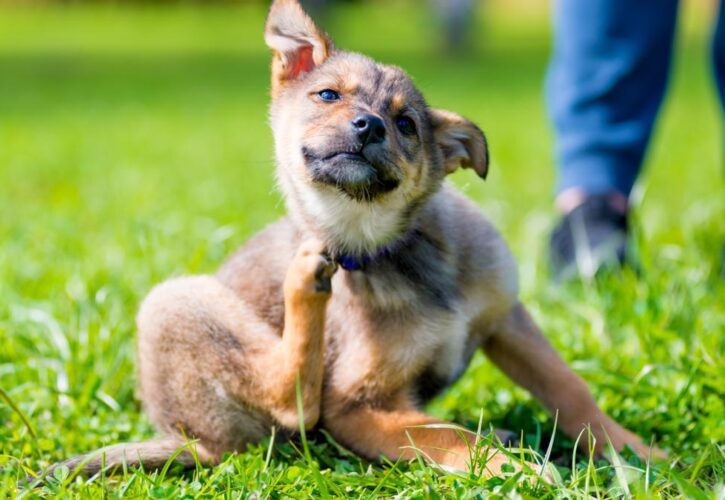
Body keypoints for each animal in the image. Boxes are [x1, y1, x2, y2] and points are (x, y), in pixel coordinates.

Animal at [51, 0, 664, 478]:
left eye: (407, 124)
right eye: (327, 95)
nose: (368, 125)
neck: (394, 249)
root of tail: (190, 441)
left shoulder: (506, 318)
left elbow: (570, 389)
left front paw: (636, 450)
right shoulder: (353, 406)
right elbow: (447, 435)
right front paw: (511, 468)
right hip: (173, 301)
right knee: (291, 400)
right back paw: (305, 283)